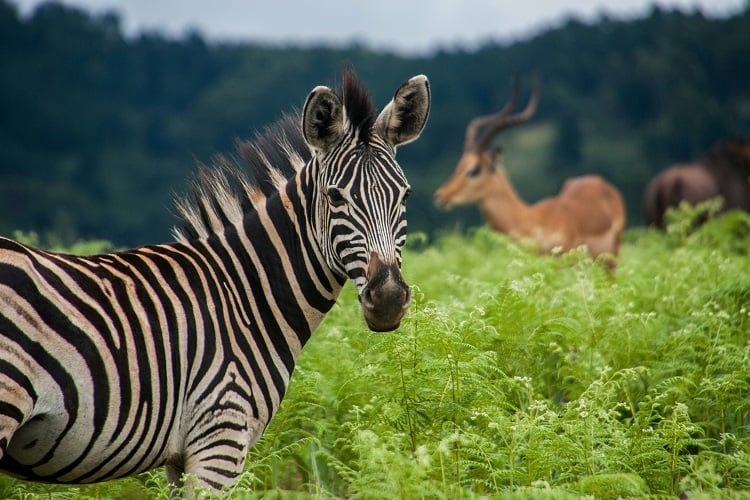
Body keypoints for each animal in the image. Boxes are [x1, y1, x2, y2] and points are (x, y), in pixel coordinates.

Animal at [0, 68, 431, 494]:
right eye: (335, 196)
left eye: (406, 196)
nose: (389, 299)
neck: (244, 296)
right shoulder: (220, 436)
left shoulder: (180, 458)